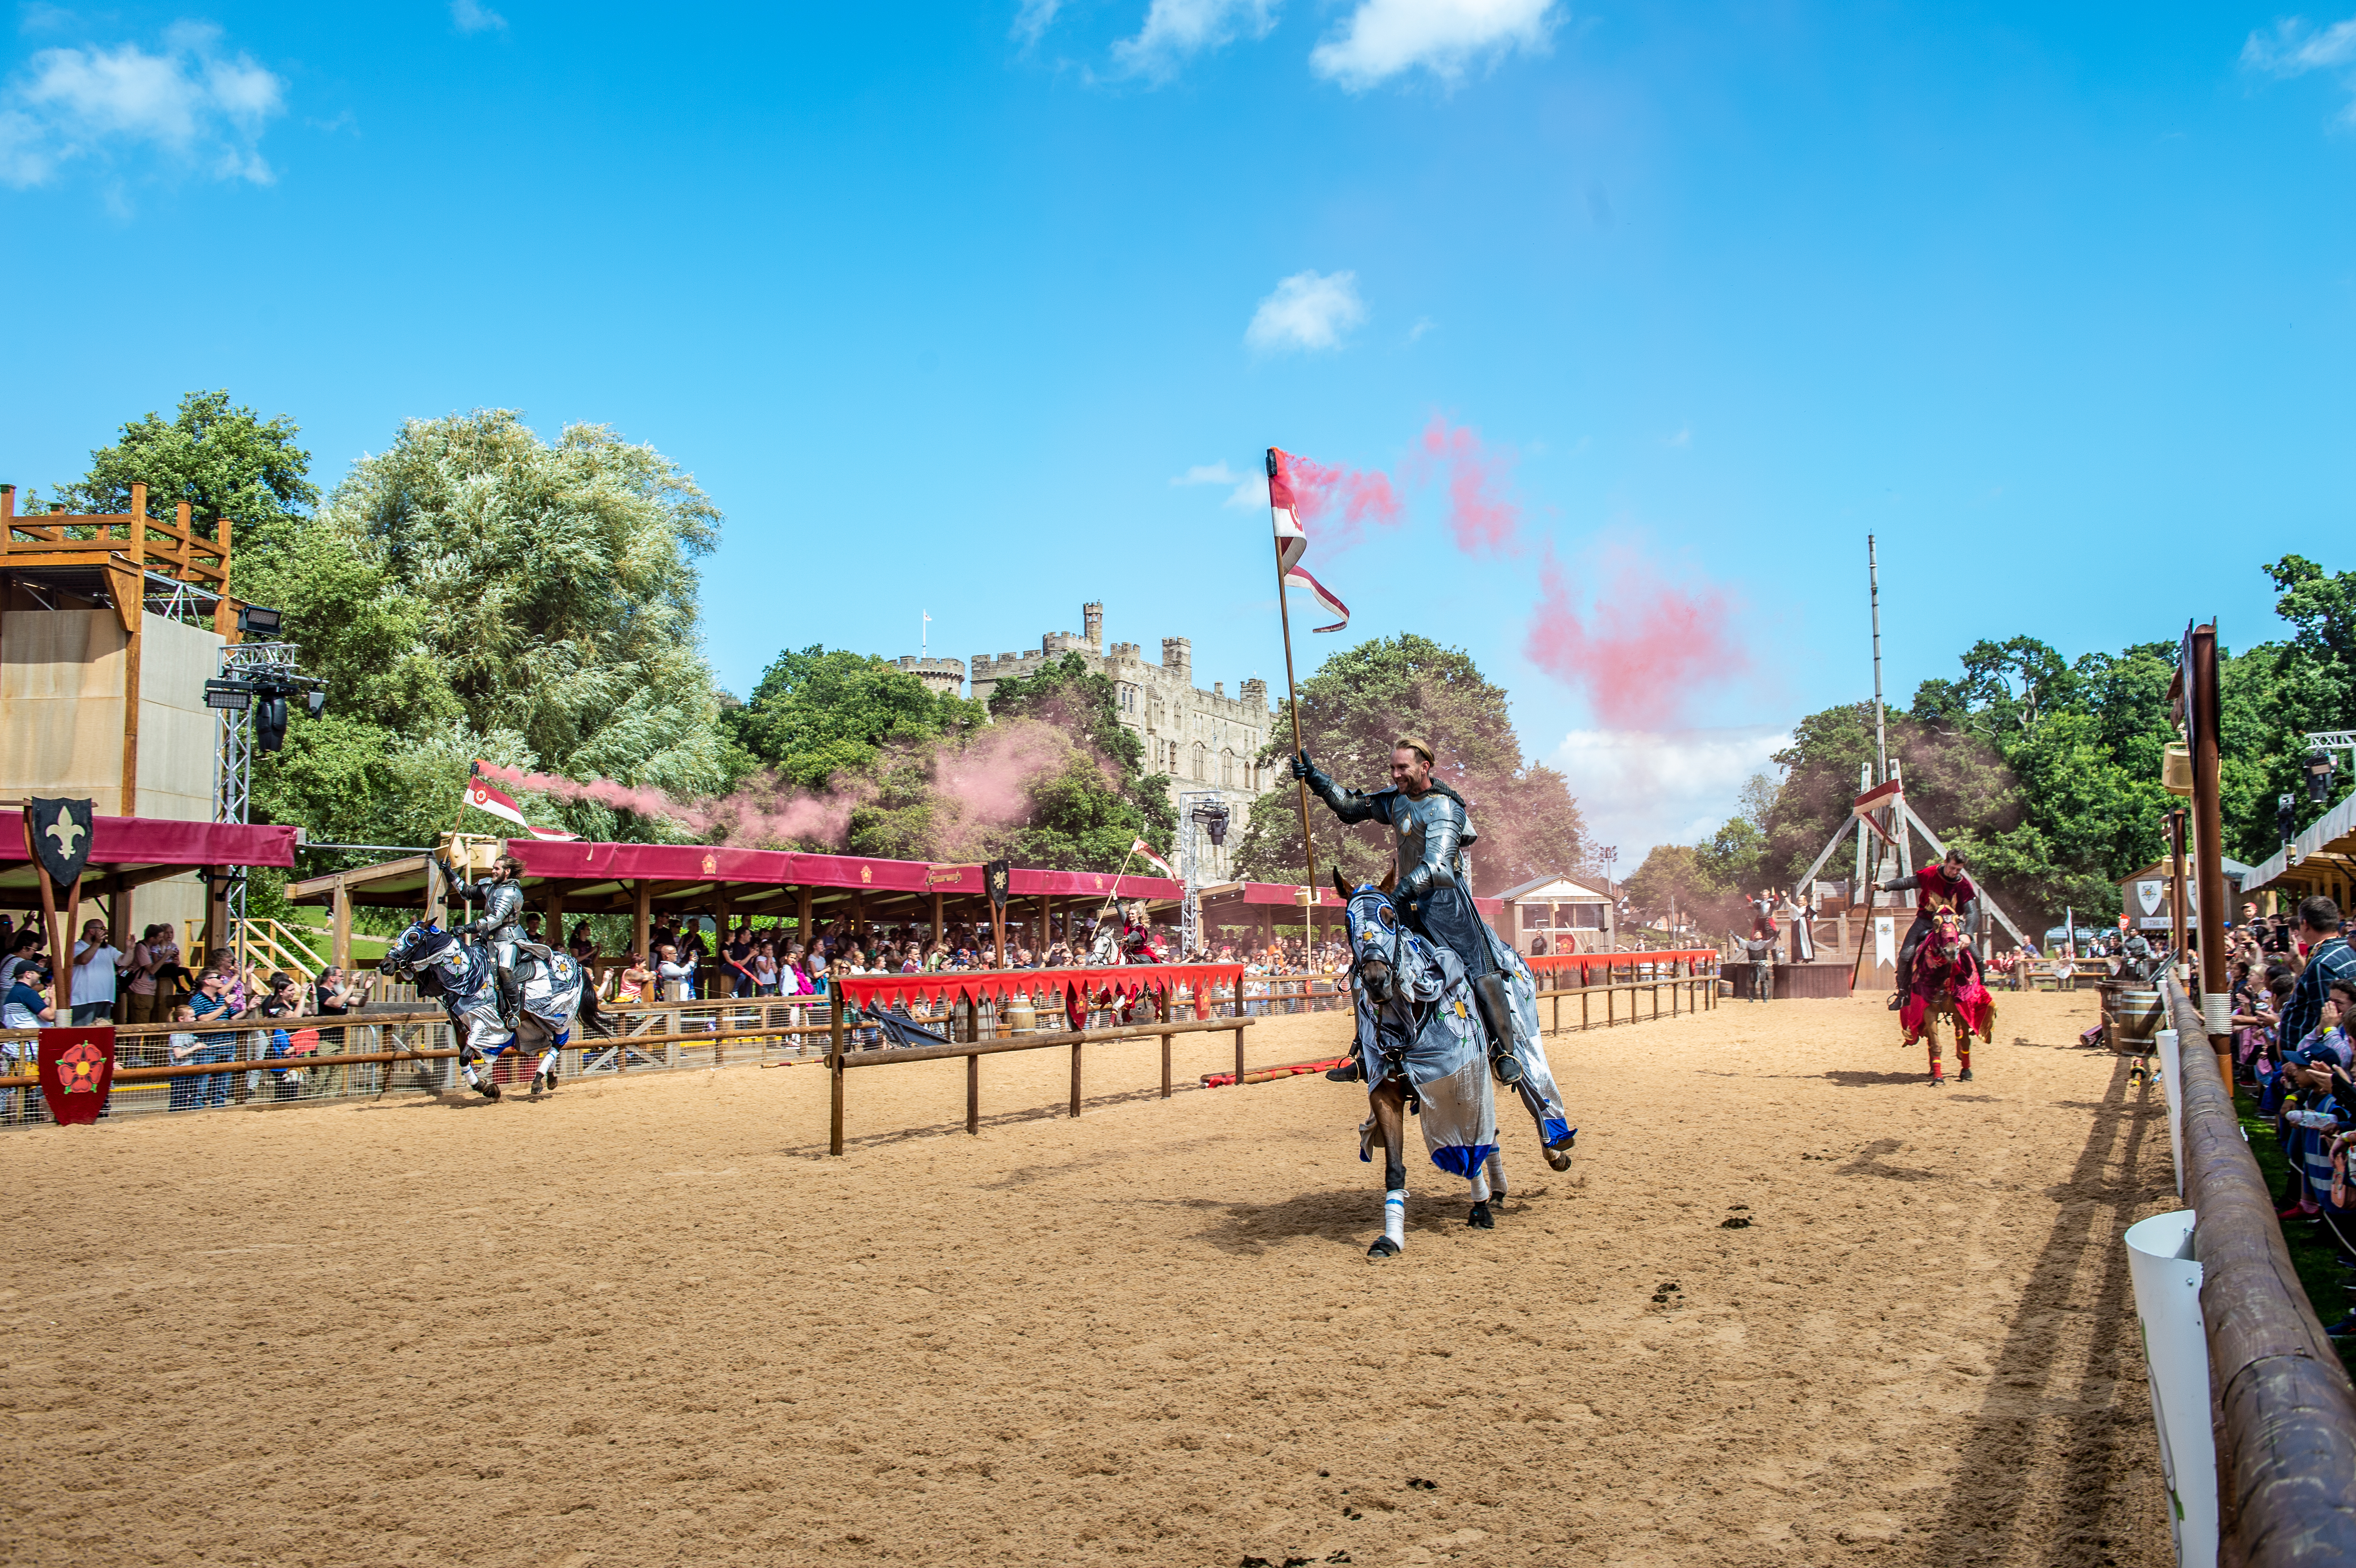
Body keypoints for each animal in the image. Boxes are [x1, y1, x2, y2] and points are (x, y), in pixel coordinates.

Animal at [374, 918, 587, 1097]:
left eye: (412, 937)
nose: (385, 965)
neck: (469, 977)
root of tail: (575, 963)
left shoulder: (486, 1027)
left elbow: (465, 1057)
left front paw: (487, 1088)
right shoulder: (461, 1031)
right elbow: (463, 1060)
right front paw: (488, 1088)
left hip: (559, 1012)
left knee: (559, 1041)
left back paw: (538, 1079)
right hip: (537, 1019)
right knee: (553, 1042)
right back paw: (550, 1078)